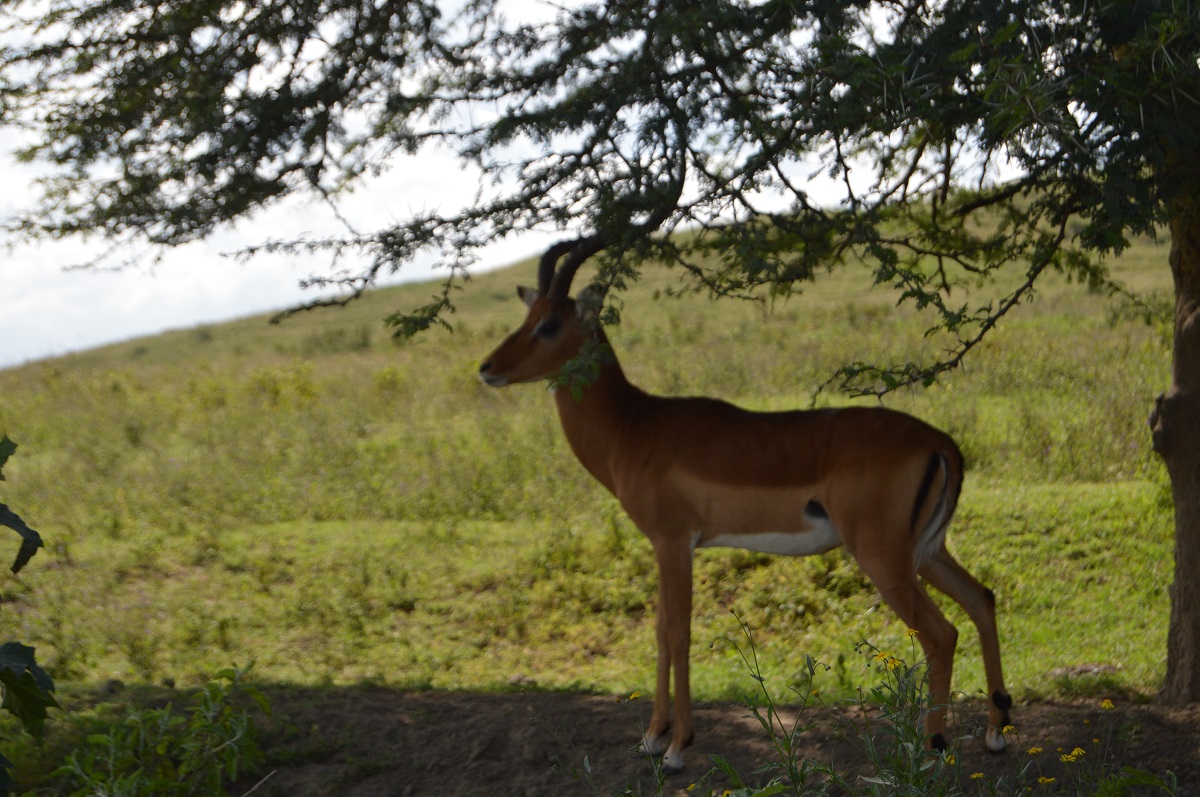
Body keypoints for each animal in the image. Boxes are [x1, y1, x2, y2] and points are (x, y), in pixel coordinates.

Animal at [477, 237, 1012, 772]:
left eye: (549, 324)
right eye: (528, 316)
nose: (487, 368)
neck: (631, 427)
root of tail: (943, 445)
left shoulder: (674, 542)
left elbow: (678, 633)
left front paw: (678, 746)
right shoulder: (663, 547)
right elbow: (659, 632)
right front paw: (652, 736)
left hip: (884, 558)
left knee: (941, 634)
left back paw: (932, 749)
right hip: (926, 552)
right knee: (981, 598)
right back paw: (996, 732)